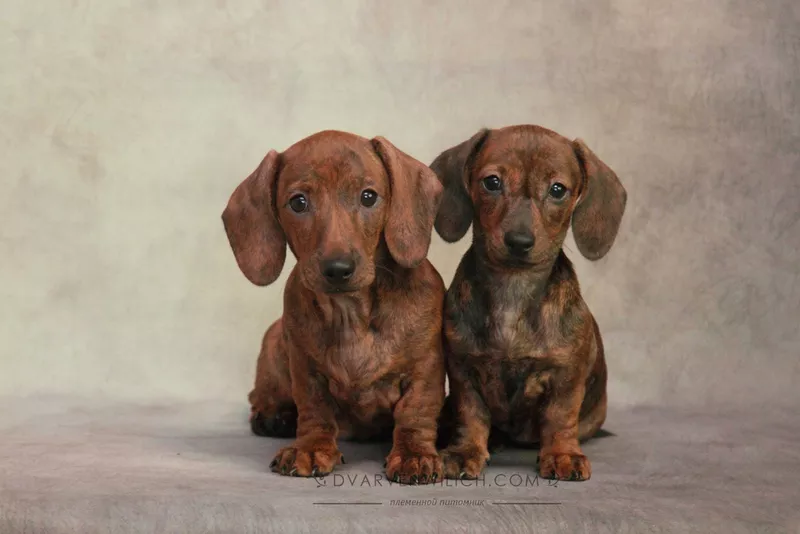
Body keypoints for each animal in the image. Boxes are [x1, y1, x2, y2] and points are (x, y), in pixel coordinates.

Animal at [220, 130, 444, 486]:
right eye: (298, 202)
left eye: (368, 197)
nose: (338, 269)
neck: (350, 313)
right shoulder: (306, 369)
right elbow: (315, 410)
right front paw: (311, 448)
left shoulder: (426, 366)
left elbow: (416, 411)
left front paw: (414, 454)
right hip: (274, 339)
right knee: (260, 394)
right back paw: (274, 415)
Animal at [432, 124, 624, 482]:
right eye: (492, 182)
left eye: (558, 189)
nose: (519, 241)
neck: (514, 289)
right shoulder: (464, 371)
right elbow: (471, 415)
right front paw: (466, 451)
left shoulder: (565, 375)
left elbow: (560, 417)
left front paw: (562, 454)